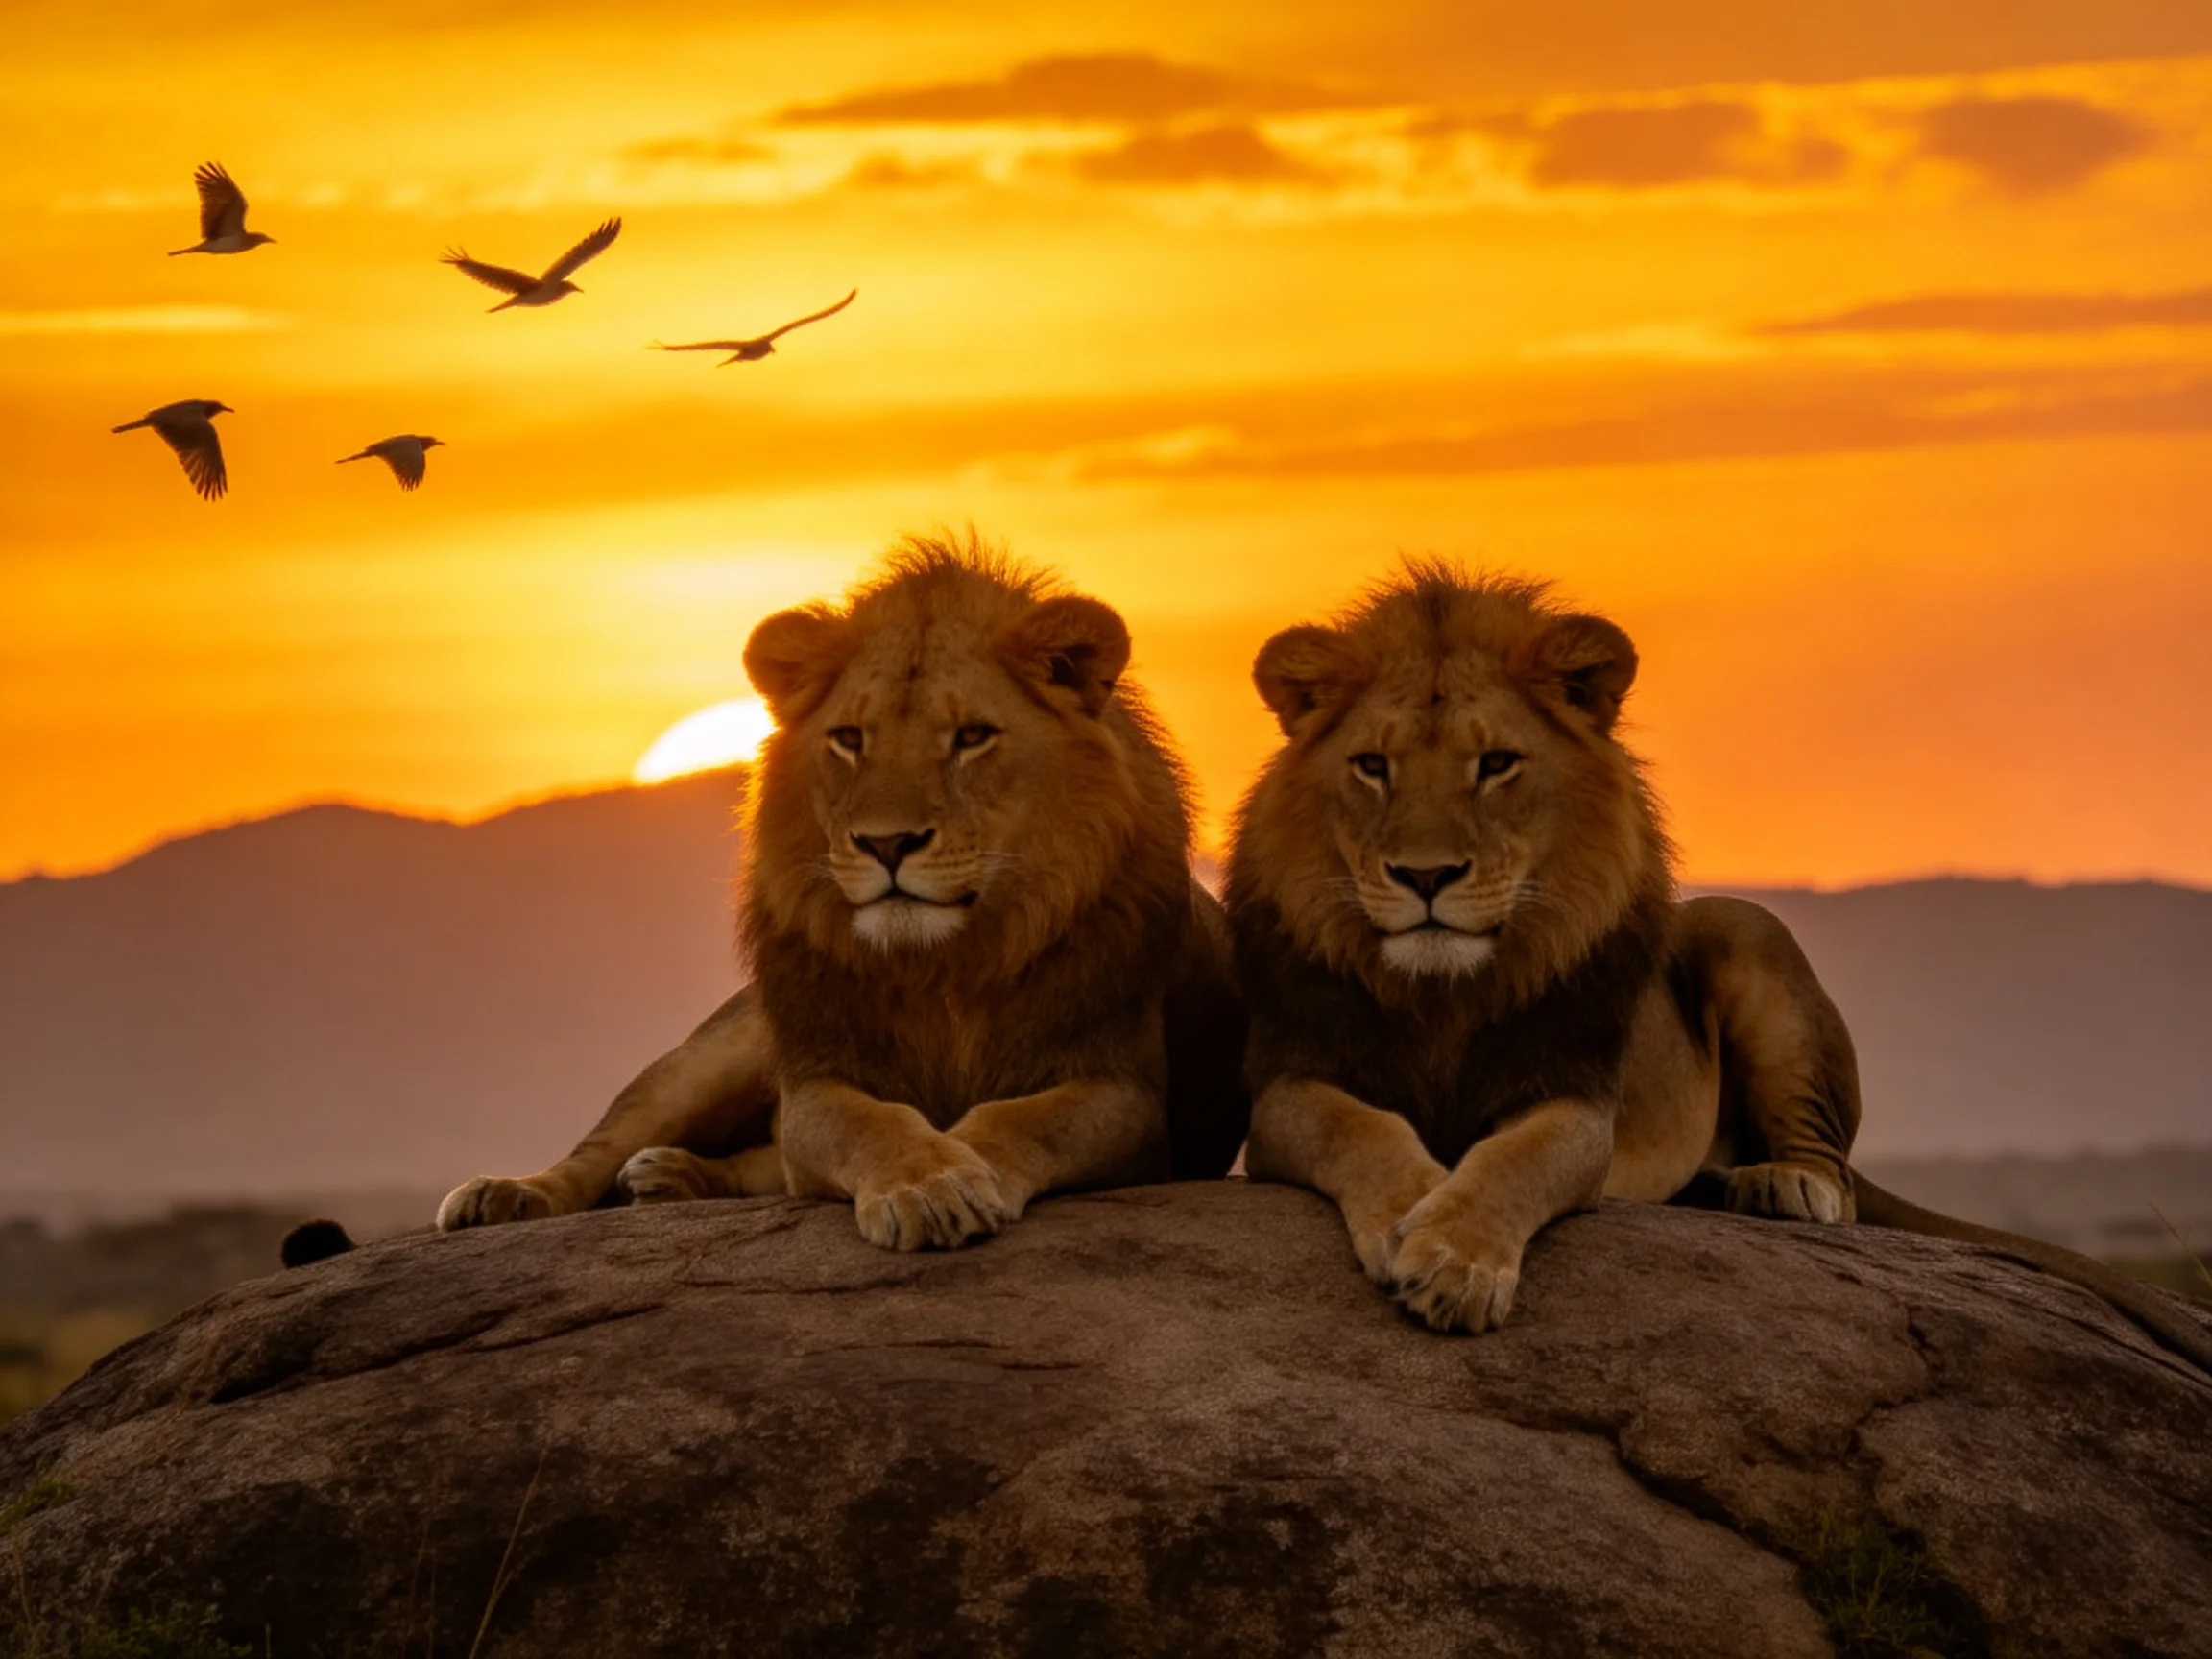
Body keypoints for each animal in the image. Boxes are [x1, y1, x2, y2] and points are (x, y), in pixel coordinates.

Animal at [438, 534, 1249, 1247]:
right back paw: (508, 1194)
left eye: (972, 736)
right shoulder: (819, 1076)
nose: (887, 845)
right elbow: (871, 1125)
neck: (945, 968)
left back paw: (670, 1179)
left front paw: (962, 1171)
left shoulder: (1126, 1093)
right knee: (605, 1147)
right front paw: (930, 1184)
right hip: (717, 1052)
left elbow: (1012, 1119)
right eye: (851, 738)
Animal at [1227, 562, 2212, 1370]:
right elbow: (1361, 1128)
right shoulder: (1283, 1087)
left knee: (1839, 1182)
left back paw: (1780, 1185)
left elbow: (1516, 1160)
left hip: (1746, 927)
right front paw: (1410, 1215)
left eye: (1497, 763)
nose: (1426, 877)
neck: (1444, 993)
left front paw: (1454, 1259)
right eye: (1372, 766)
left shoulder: (1576, 1099)